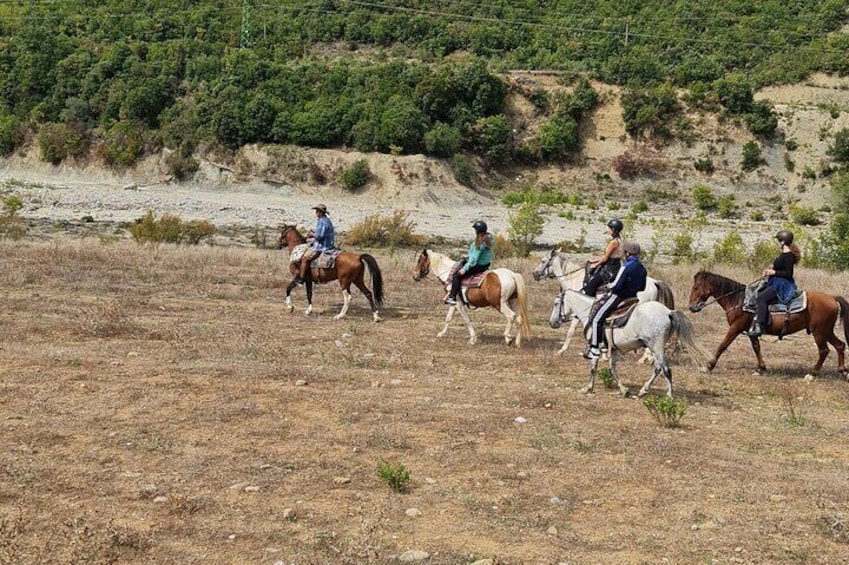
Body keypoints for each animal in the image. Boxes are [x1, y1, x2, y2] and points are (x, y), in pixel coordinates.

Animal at [532, 249, 672, 354]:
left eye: (543, 261)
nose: (534, 274)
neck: (574, 279)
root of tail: (655, 282)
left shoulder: (578, 311)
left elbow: (571, 331)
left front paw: (562, 350)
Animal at [548, 290, 704, 396]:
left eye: (556, 304)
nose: (552, 322)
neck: (590, 313)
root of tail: (668, 312)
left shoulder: (595, 347)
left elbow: (593, 368)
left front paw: (587, 388)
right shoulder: (613, 350)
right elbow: (612, 369)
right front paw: (624, 390)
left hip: (656, 346)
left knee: (665, 369)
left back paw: (668, 396)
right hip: (656, 348)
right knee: (658, 368)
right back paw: (644, 390)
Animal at [684, 270, 844, 376]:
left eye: (696, 287)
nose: (692, 307)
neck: (739, 300)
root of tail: (832, 298)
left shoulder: (736, 328)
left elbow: (722, 346)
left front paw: (709, 366)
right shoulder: (751, 331)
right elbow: (757, 347)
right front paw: (761, 368)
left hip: (819, 332)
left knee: (824, 350)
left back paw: (813, 373)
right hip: (826, 331)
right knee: (840, 346)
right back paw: (843, 371)